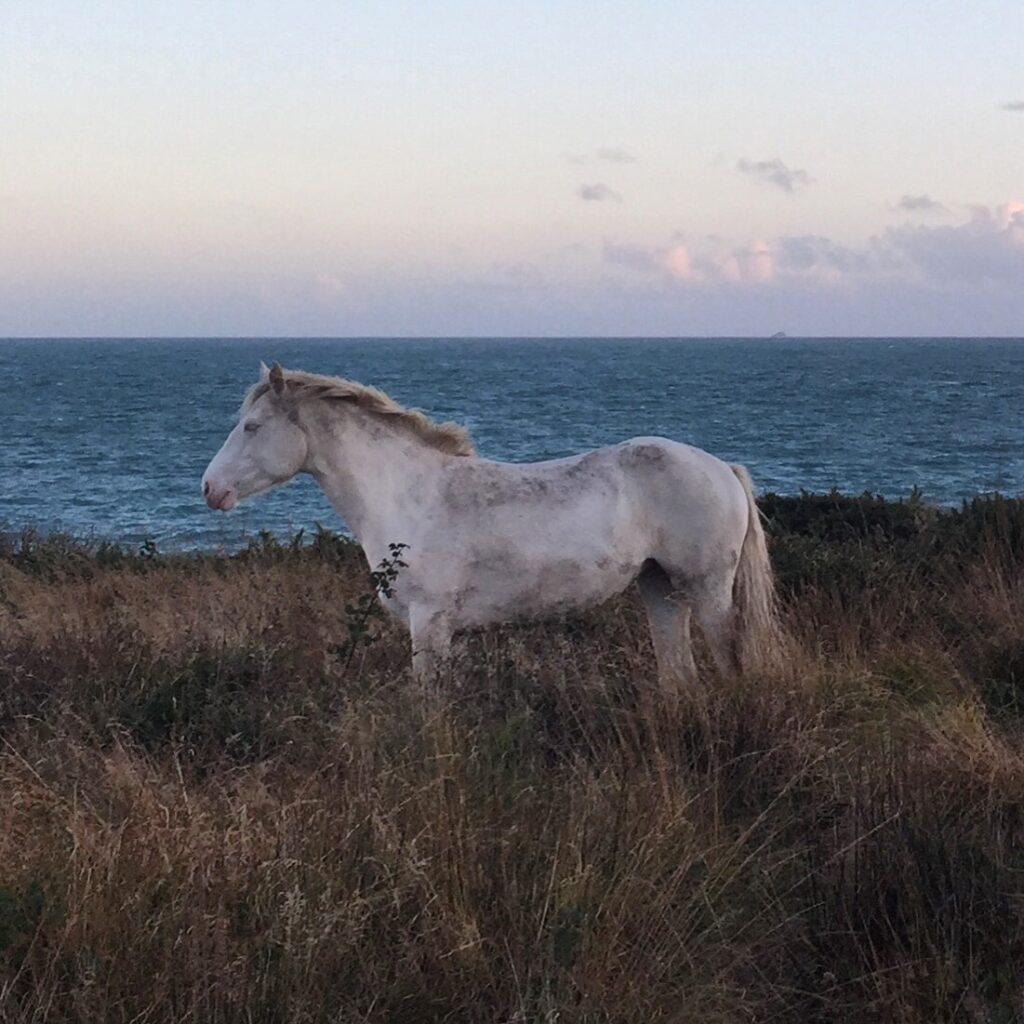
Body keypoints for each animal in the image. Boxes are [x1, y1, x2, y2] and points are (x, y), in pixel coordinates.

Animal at [201, 364, 774, 684]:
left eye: (251, 427)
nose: (209, 488)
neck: (407, 492)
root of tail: (723, 467)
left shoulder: (429, 624)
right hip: (660, 588)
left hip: (707, 590)